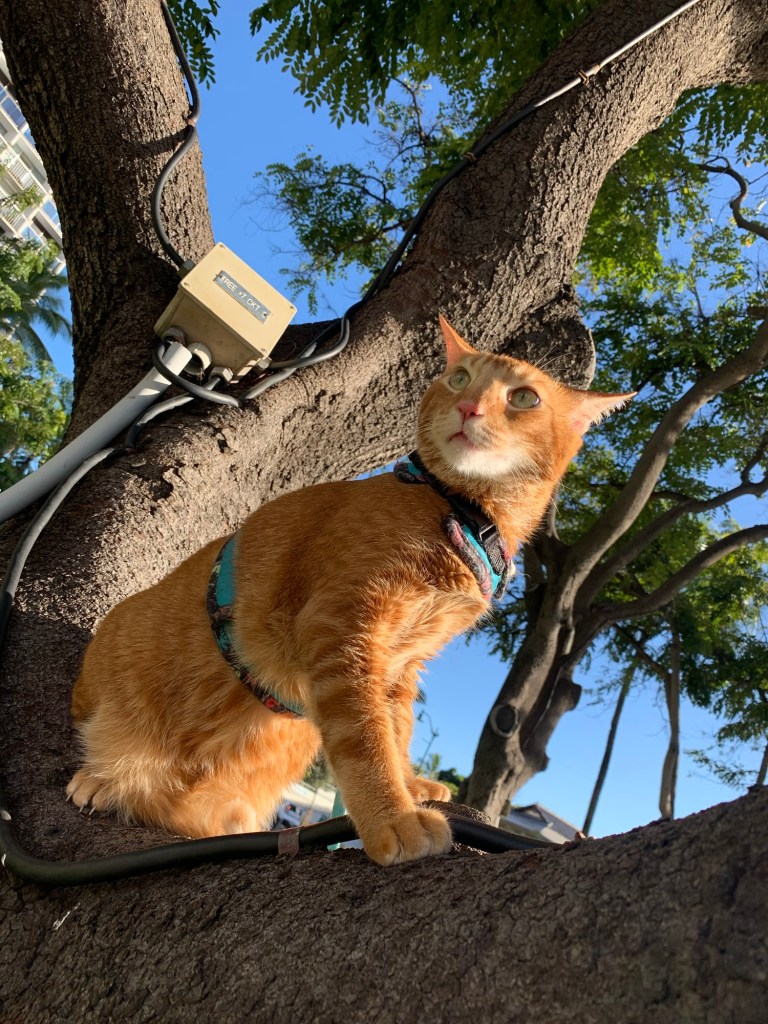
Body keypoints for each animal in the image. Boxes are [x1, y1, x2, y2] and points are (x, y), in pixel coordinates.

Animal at [67, 315, 633, 865]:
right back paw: (100, 780)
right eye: (459, 378)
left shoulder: (403, 663)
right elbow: (365, 738)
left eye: (524, 398)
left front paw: (410, 786)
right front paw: (392, 819)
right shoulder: (344, 627)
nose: (468, 407)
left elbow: (396, 732)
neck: (464, 511)